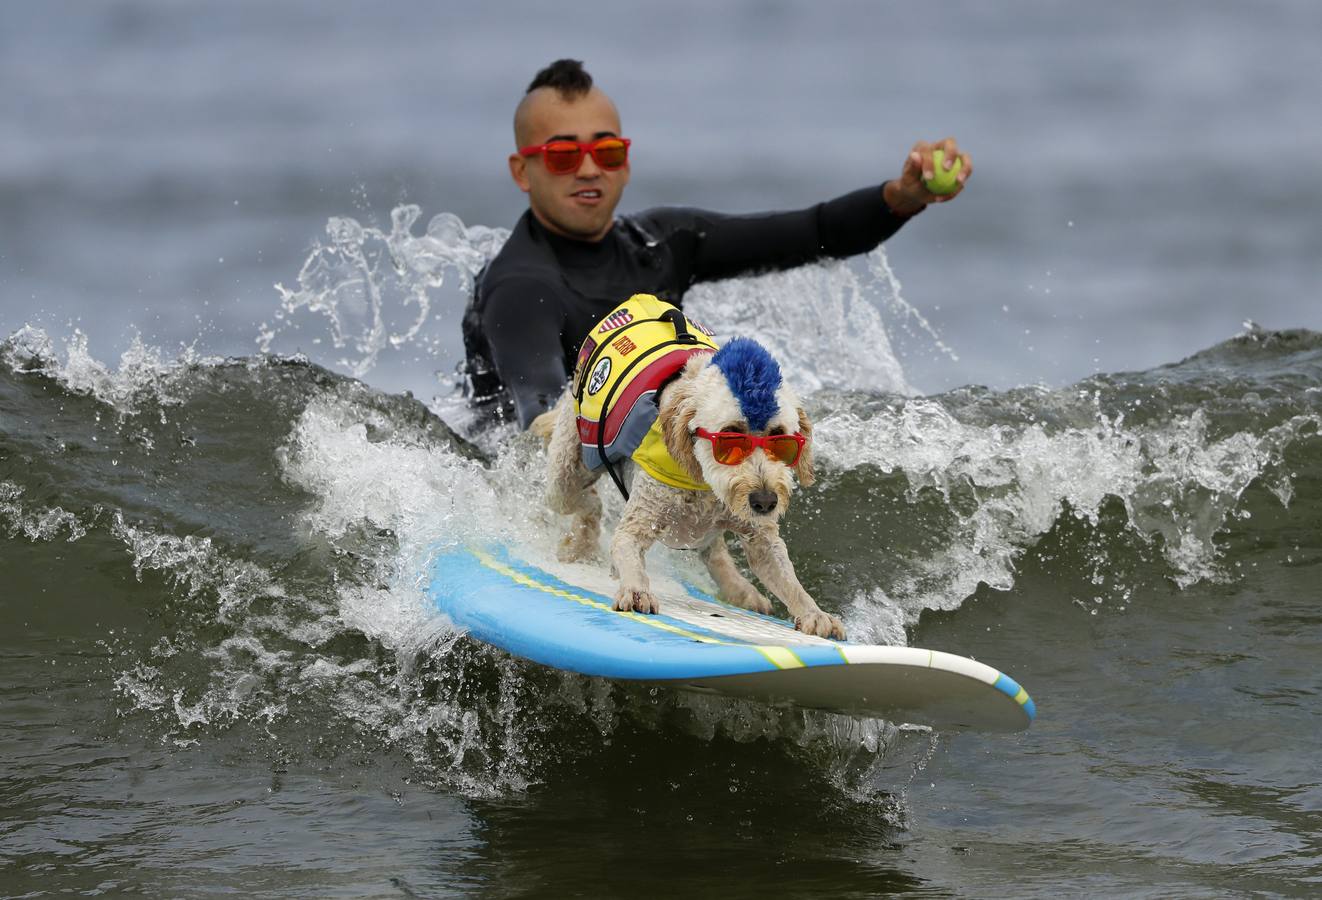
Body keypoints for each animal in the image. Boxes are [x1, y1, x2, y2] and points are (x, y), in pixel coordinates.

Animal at [544, 315, 846, 639]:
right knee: (586, 502)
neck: (704, 483)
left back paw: (742, 591)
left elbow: (786, 578)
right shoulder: (638, 522)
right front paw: (637, 590)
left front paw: (815, 614)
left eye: (780, 438)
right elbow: (627, 547)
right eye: (730, 436)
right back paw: (582, 542)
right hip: (565, 470)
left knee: (713, 551)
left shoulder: (760, 537)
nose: (765, 502)